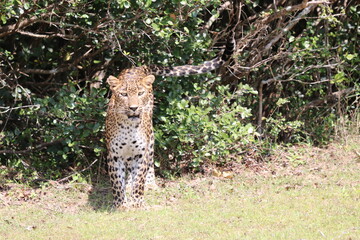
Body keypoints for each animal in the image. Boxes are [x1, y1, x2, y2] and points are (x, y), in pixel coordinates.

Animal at [105, 35, 235, 208]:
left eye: (140, 93)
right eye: (123, 94)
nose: (134, 108)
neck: (128, 127)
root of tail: (138, 68)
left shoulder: (141, 153)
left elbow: (139, 180)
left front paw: (138, 203)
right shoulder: (114, 155)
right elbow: (117, 183)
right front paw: (121, 205)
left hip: (150, 138)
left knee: (148, 162)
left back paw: (150, 184)